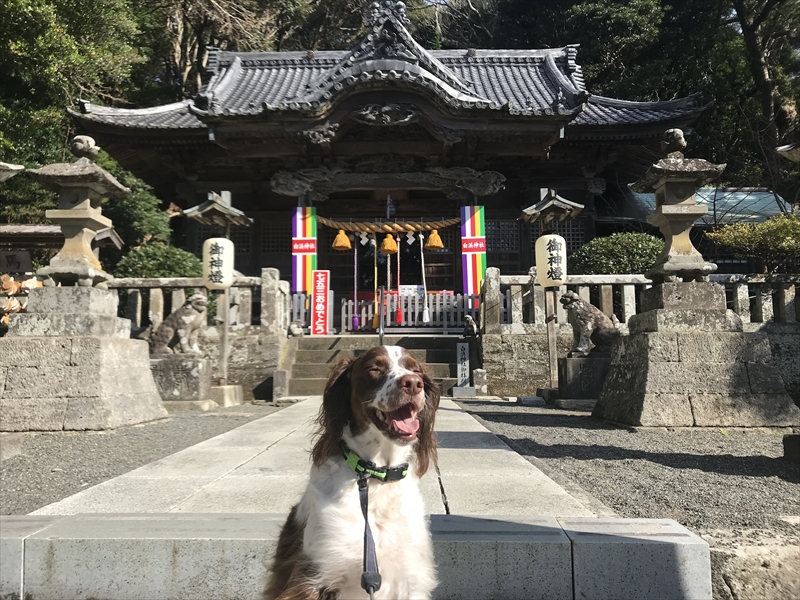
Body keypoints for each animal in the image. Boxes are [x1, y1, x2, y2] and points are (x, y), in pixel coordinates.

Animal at [268, 344, 444, 600]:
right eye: (374, 368)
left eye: (416, 370)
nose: (412, 383)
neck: (376, 478)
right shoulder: (311, 579)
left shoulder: (410, 582)